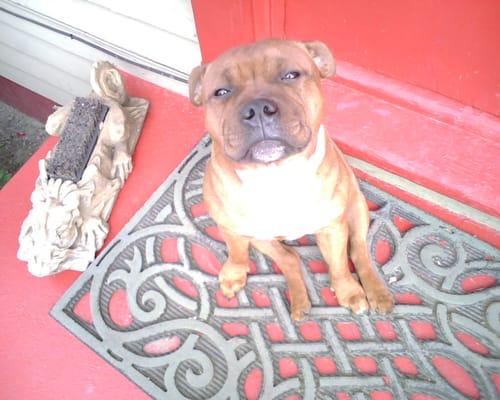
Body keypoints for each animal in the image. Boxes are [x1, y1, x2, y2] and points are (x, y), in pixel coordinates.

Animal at [189, 39, 392, 320]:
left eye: (290, 75)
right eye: (221, 91)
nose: (256, 109)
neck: (277, 175)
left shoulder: (332, 229)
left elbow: (339, 264)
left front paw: (348, 291)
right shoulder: (233, 228)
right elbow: (237, 251)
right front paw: (234, 272)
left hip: (356, 208)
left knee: (358, 250)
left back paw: (377, 292)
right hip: (263, 237)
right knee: (290, 258)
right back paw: (299, 302)